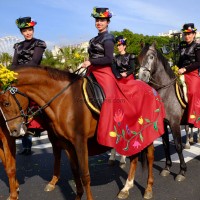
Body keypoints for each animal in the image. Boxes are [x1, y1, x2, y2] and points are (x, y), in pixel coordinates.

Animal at [0, 65, 155, 198]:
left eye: (6, 103)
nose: (13, 131)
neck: (64, 100)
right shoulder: (67, 143)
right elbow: (75, 170)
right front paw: (78, 195)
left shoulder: (80, 141)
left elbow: (85, 174)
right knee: (134, 157)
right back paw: (126, 188)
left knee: (149, 157)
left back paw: (148, 189)